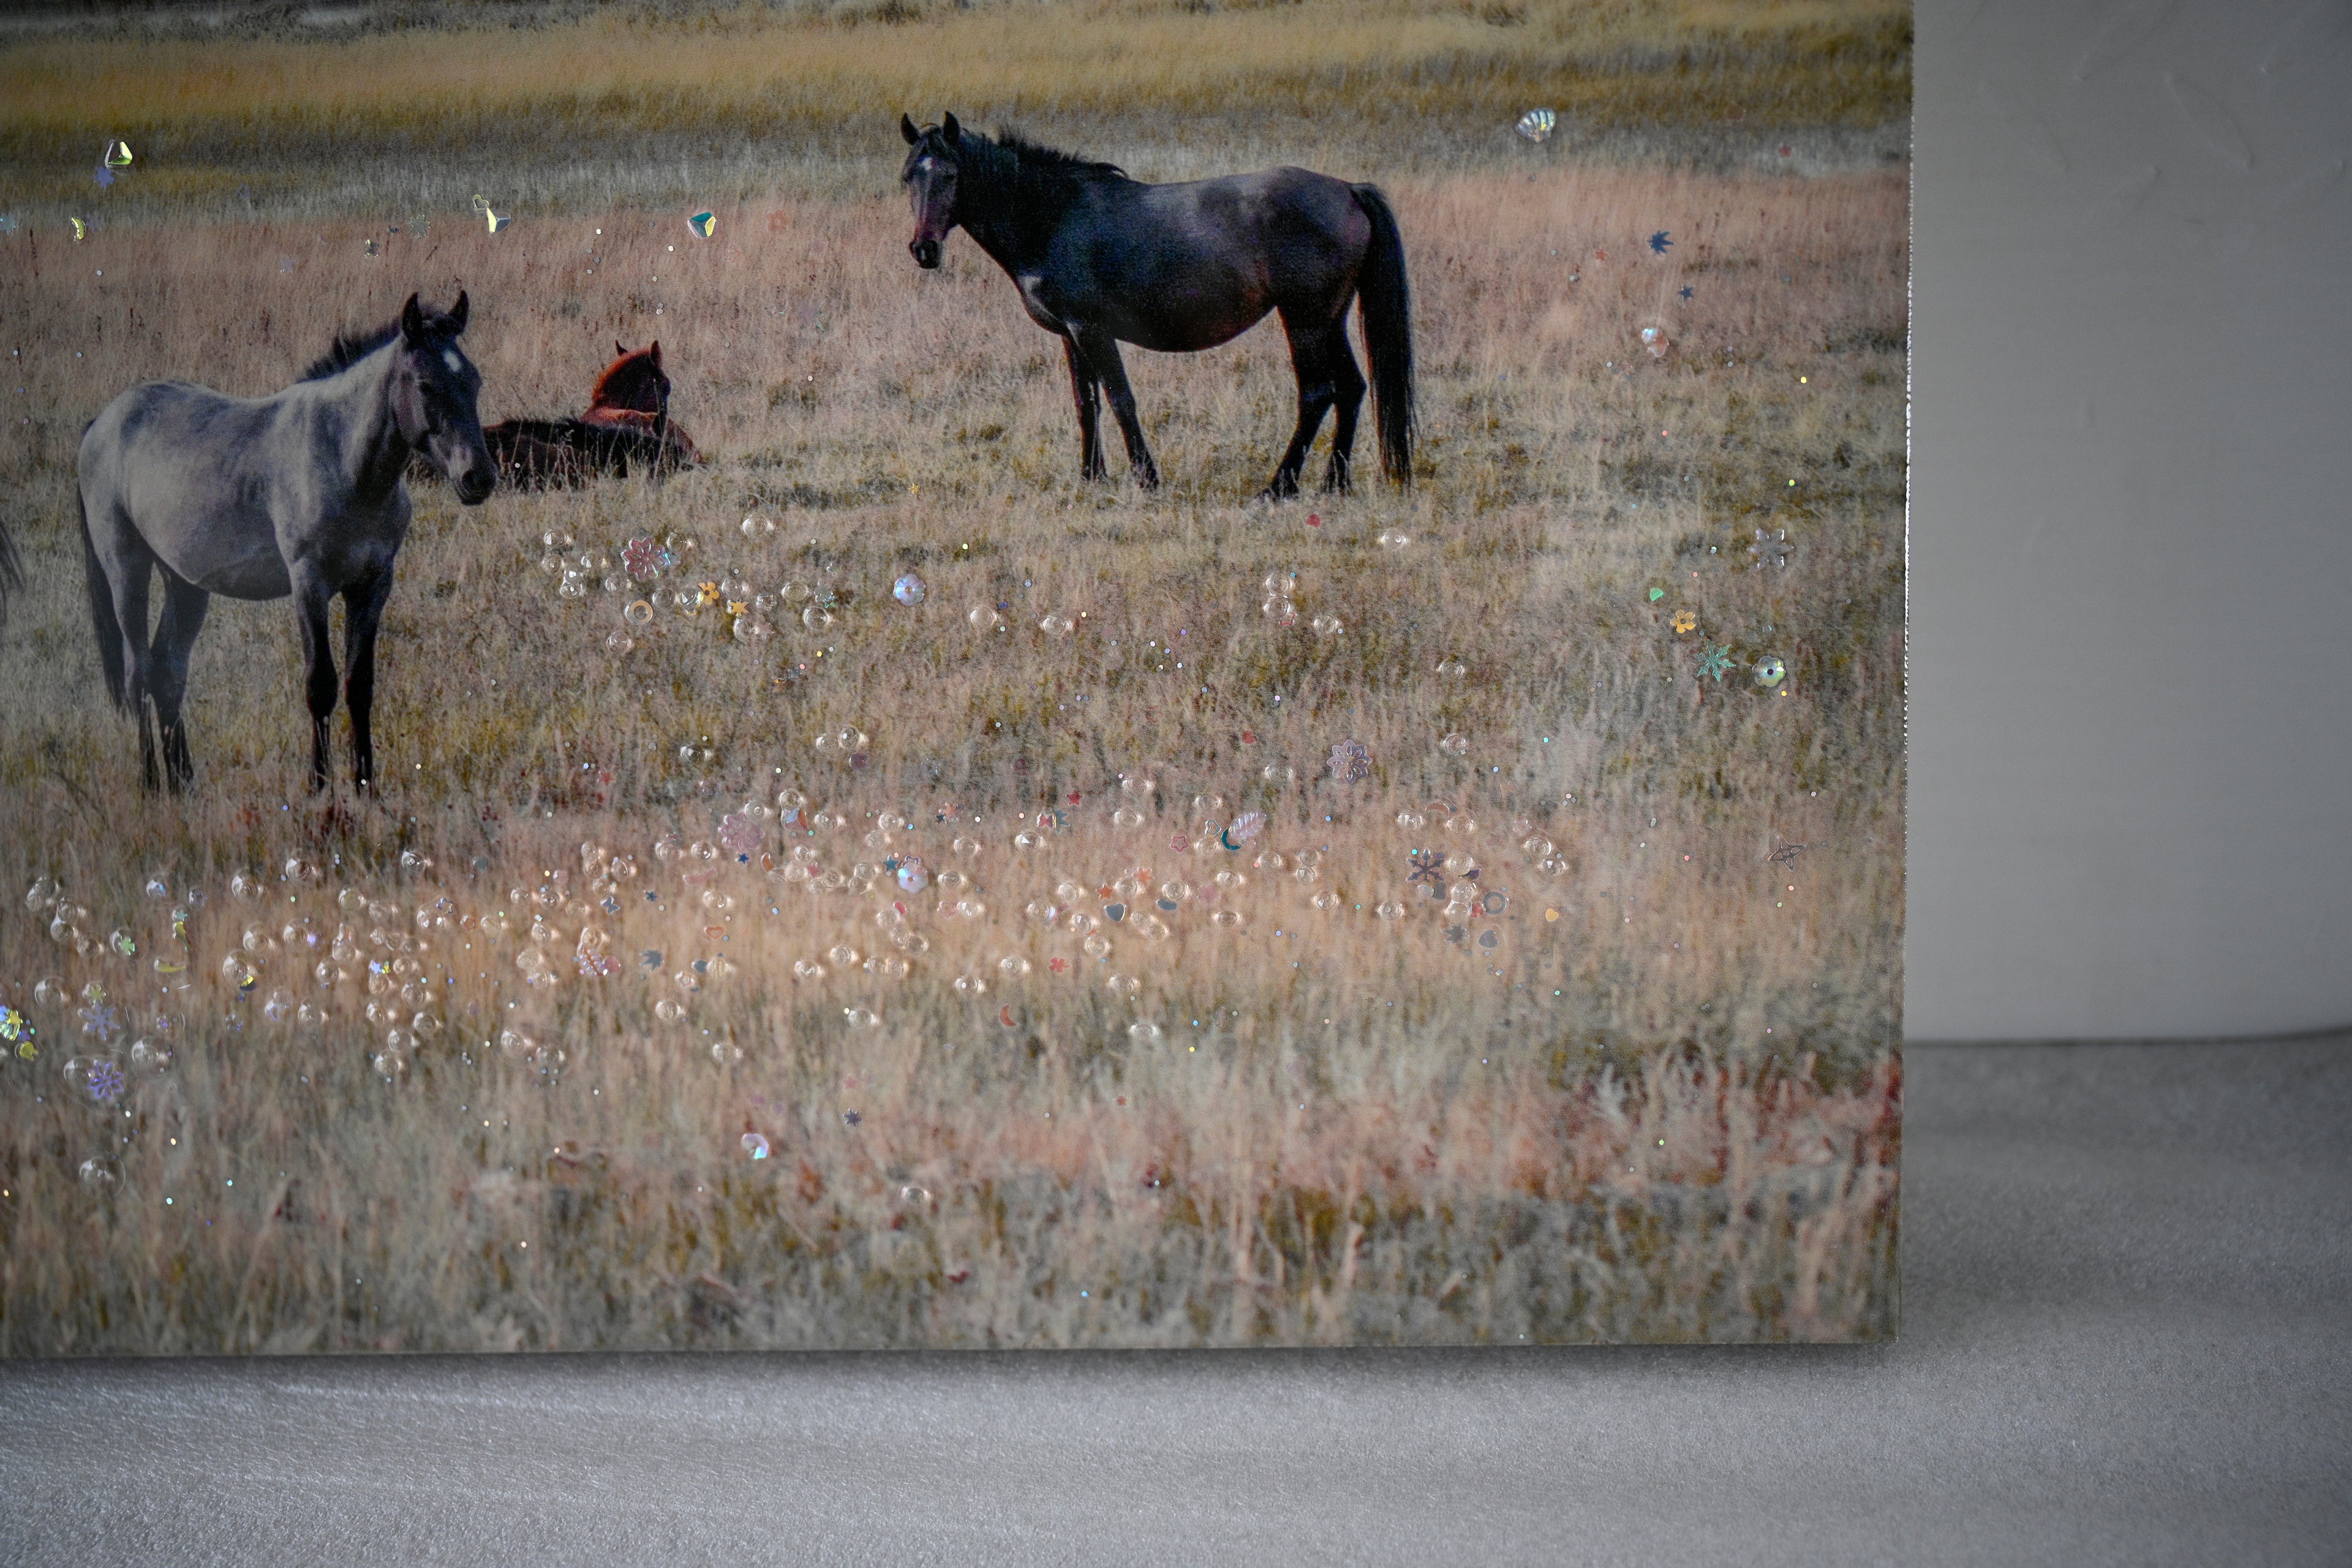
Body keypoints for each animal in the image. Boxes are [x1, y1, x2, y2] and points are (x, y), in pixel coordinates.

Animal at [76, 292, 494, 795]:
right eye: (426, 385)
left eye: (475, 380)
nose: (479, 478)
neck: (343, 462)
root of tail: (102, 423)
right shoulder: (309, 583)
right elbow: (321, 685)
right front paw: (319, 787)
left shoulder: (373, 585)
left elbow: (359, 686)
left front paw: (365, 789)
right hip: (127, 570)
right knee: (139, 672)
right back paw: (152, 784)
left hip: (185, 582)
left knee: (167, 670)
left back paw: (184, 784)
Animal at [899, 112, 1416, 499]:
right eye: (908, 178)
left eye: (951, 175)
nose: (924, 249)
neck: (1053, 217)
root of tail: (1348, 189)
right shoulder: (1070, 335)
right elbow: (1086, 404)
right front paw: (1092, 478)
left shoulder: (1091, 329)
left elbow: (1120, 399)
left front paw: (1146, 478)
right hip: (1331, 319)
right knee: (1352, 387)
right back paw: (1335, 483)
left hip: (1305, 320)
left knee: (1317, 394)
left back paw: (1279, 487)